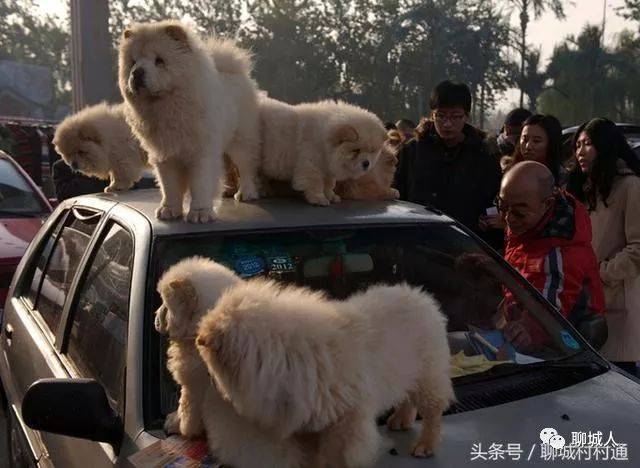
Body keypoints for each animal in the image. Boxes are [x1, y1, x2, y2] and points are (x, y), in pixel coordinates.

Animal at [119, 22, 262, 224]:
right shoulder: (165, 155)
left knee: (246, 167)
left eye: (159, 61)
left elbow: (200, 184)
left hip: (241, 139)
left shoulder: (200, 153)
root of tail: (234, 72)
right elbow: (169, 186)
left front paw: (200, 213)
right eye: (133, 62)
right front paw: (169, 210)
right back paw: (228, 191)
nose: (137, 73)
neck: (167, 108)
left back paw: (246, 193)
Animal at [198, 278, 452, 464]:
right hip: (407, 369)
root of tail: (421, 296)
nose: (208, 377)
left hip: (429, 374)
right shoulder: (310, 416)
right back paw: (400, 421)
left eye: (210, 364)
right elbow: (313, 451)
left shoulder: (348, 418)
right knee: (407, 397)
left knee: (432, 412)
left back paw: (425, 446)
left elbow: (336, 454)